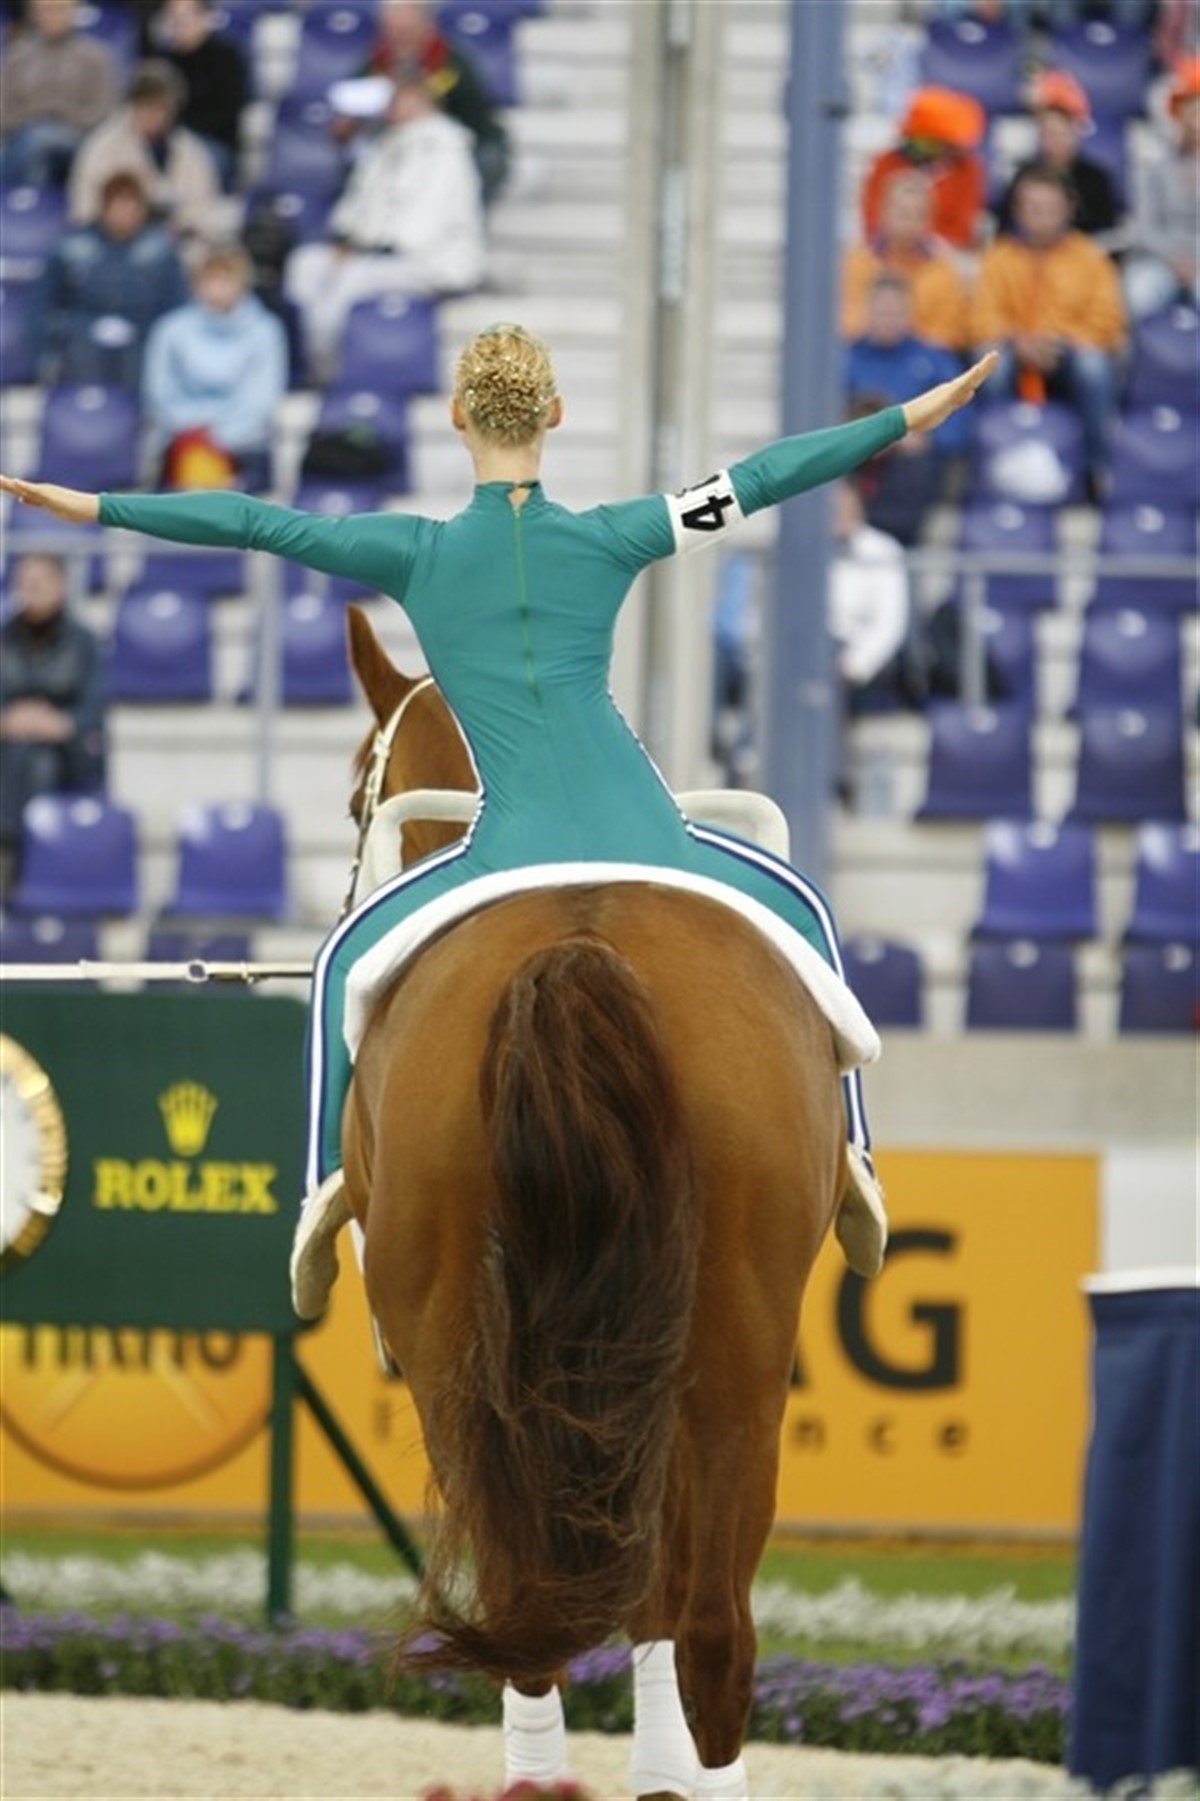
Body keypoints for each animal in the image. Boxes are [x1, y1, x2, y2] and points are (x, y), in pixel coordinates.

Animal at [338, 605, 848, 1798]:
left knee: (557, 1599)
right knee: (706, 1624)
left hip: (473, 1364)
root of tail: (580, 947)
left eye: (351, 799)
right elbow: (652, 1588)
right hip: (729, 1359)